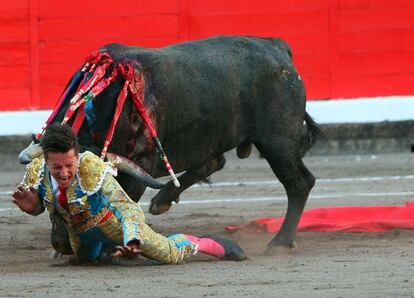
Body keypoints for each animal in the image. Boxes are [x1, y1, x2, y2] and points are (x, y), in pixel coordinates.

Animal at [19, 35, 324, 254]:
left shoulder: (140, 164)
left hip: (278, 142)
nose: (61, 245)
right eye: (48, 194)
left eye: (91, 199)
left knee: (299, 184)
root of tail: (275, 47)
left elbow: (125, 203)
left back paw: (280, 242)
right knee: (214, 162)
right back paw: (163, 200)